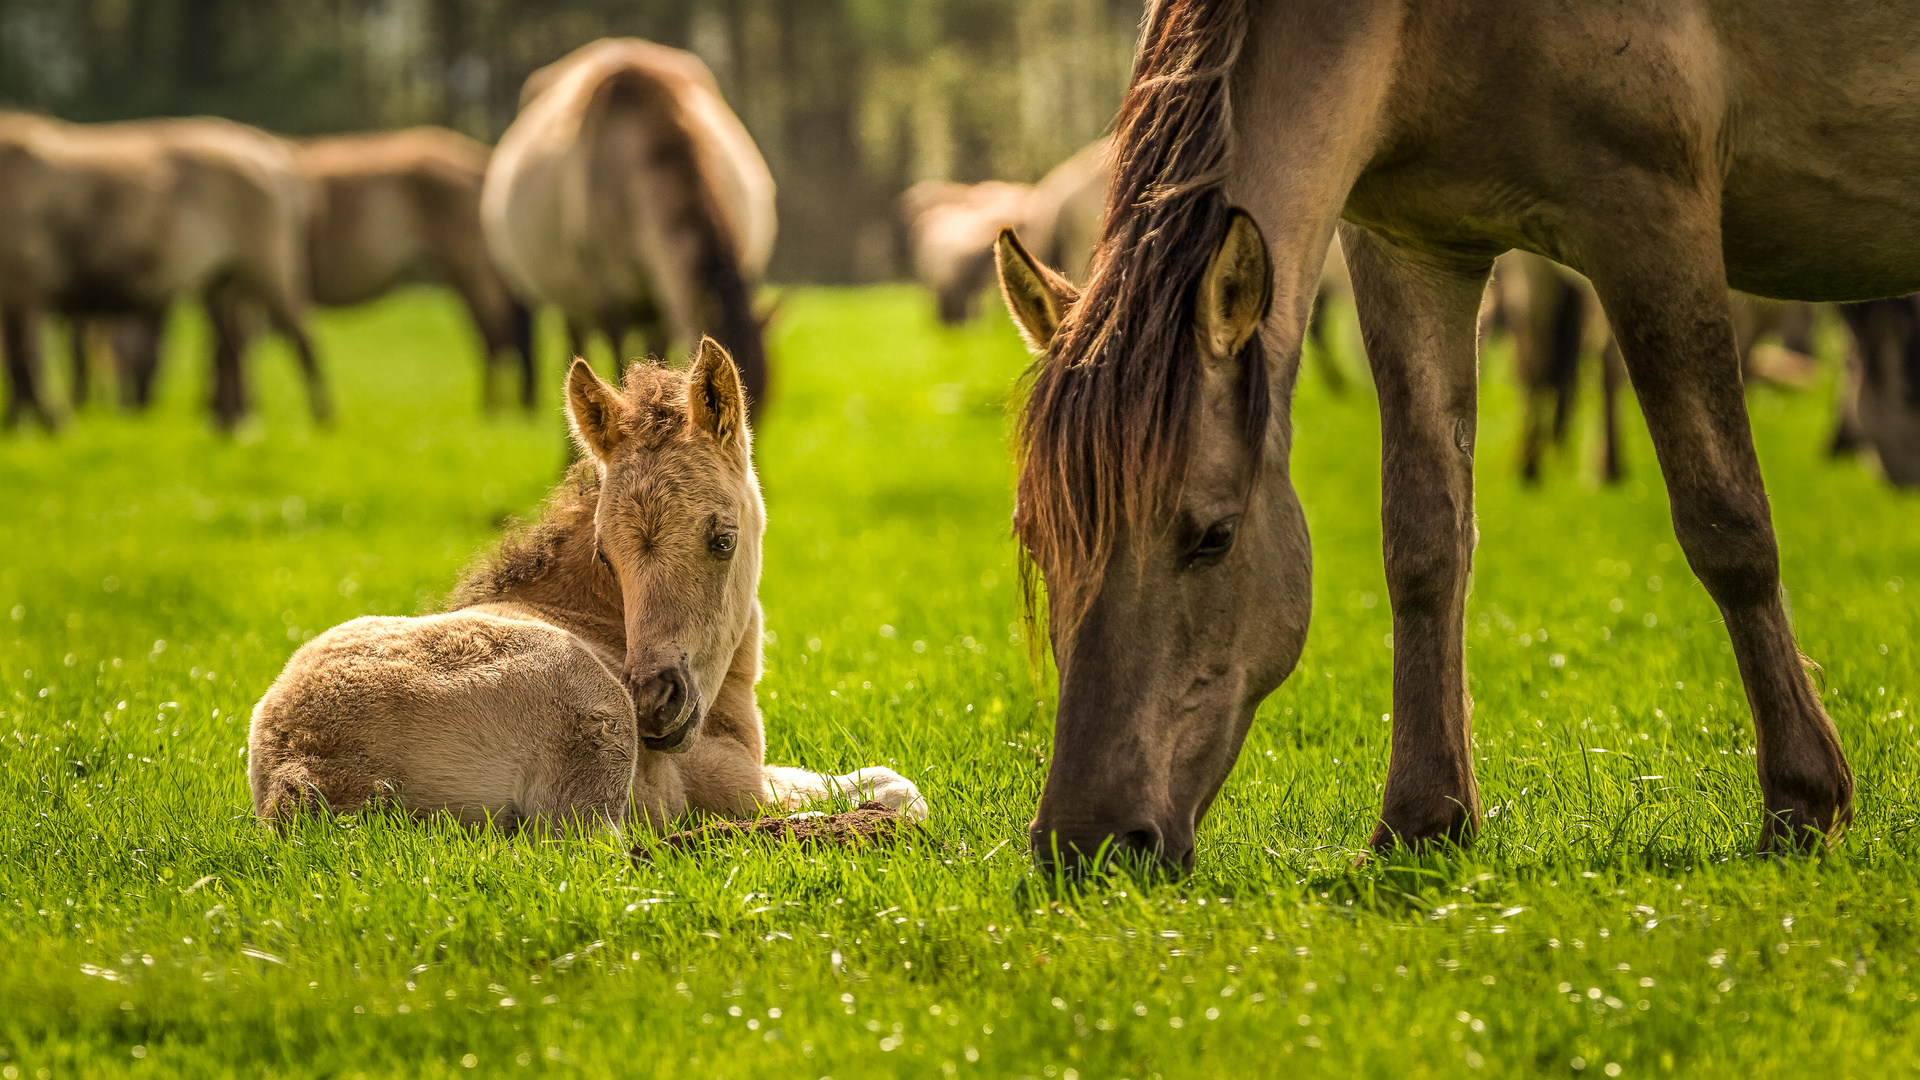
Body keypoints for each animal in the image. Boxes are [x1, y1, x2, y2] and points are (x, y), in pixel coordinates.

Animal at [0, 111, 328, 426]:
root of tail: (278, 162)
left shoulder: (22, 286)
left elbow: (24, 362)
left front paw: (47, 421)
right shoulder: (23, 295)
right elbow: (22, 363)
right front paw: (24, 420)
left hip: (268, 269)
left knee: (301, 338)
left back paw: (319, 416)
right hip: (221, 283)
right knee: (229, 348)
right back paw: (229, 422)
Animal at [249, 340, 929, 826]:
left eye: (723, 539)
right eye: (607, 554)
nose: (655, 704)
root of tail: (299, 772)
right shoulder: (730, 778)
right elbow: (888, 784)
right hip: (594, 711)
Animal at [990, 0, 1904, 868]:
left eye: (1213, 537)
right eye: (1035, 539)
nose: (1085, 844)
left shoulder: (1653, 220)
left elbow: (1726, 523)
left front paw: (1801, 799)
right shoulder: (1412, 248)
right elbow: (1425, 542)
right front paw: (1422, 821)